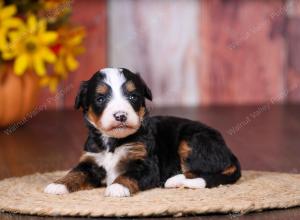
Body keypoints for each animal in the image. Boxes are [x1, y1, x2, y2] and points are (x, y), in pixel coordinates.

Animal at [44, 68, 241, 197]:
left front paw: (117, 187)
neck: (113, 142)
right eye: (100, 98)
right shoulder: (91, 160)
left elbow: (128, 174)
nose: (121, 115)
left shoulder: (146, 164)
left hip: (193, 140)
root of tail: (228, 152)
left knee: (200, 171)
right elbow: (76, 172)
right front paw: (58, 184)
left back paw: (174, 180)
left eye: (133, 96)